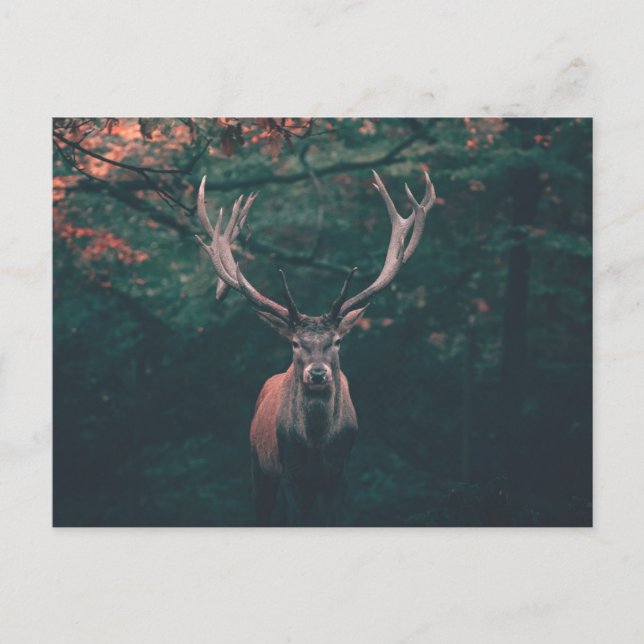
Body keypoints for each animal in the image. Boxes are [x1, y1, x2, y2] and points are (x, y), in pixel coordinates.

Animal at [196, 170, 436, 526]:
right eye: (295, 343)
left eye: (337, 341)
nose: (318, 374)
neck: (317, 448)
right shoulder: (288, 472)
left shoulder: (340, 474)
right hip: (258, 466)